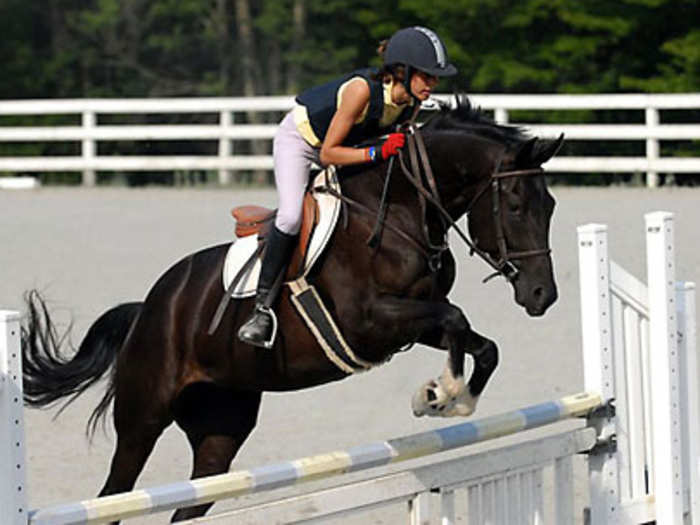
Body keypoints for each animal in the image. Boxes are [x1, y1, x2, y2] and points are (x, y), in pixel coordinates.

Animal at [20, 97, 564, 520]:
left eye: (551, 205)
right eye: (516, 206)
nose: (543, 296)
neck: (401, 210)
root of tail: (148, 309)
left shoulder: (413, 318)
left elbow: (478, 341)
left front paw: (451, 398)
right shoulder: (369, 321)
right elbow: (456, 321)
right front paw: (438, 394)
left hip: (220, 427)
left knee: (191, 500)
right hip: (142, 417)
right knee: (114, 494)